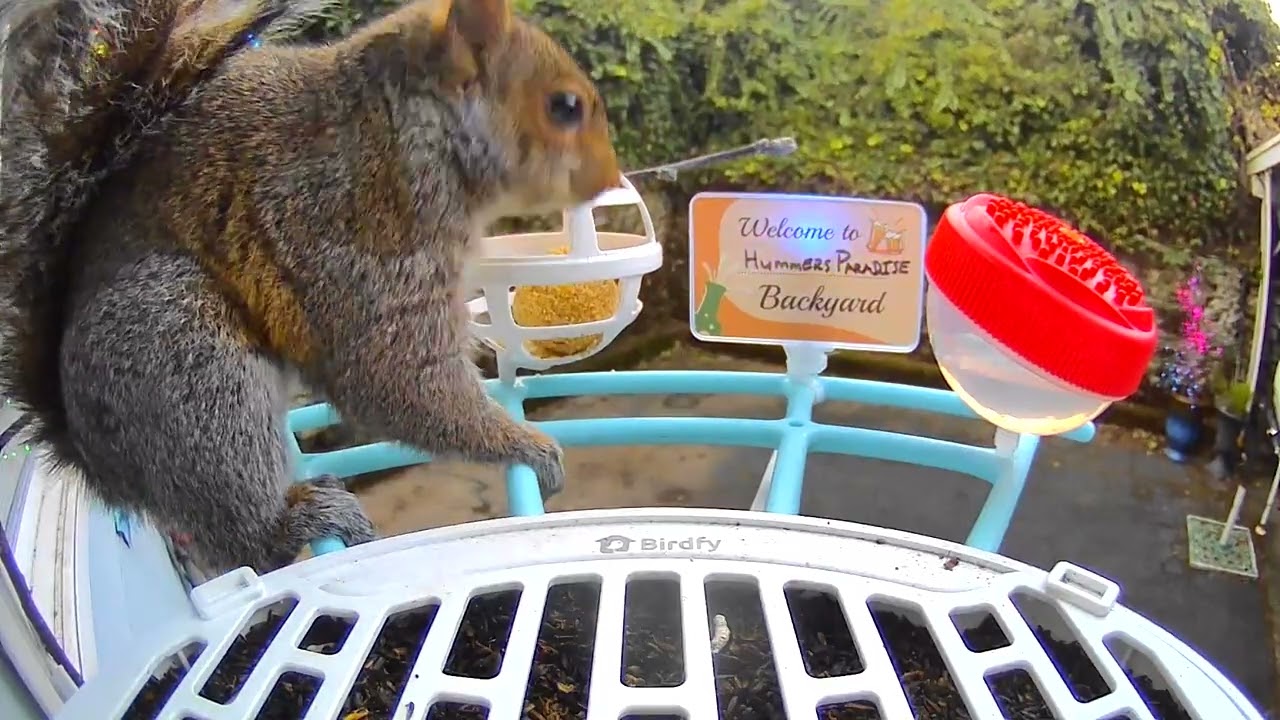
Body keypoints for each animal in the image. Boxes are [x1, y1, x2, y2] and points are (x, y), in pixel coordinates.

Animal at [0, 0, 622, 577]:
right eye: (565, 107)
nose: (612, 180)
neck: (406, 126)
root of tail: (91, 456)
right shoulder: (356, 231)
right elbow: (394, 376)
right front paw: (528, 445)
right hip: (187, 361)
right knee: (244, 539)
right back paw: (298, 522)